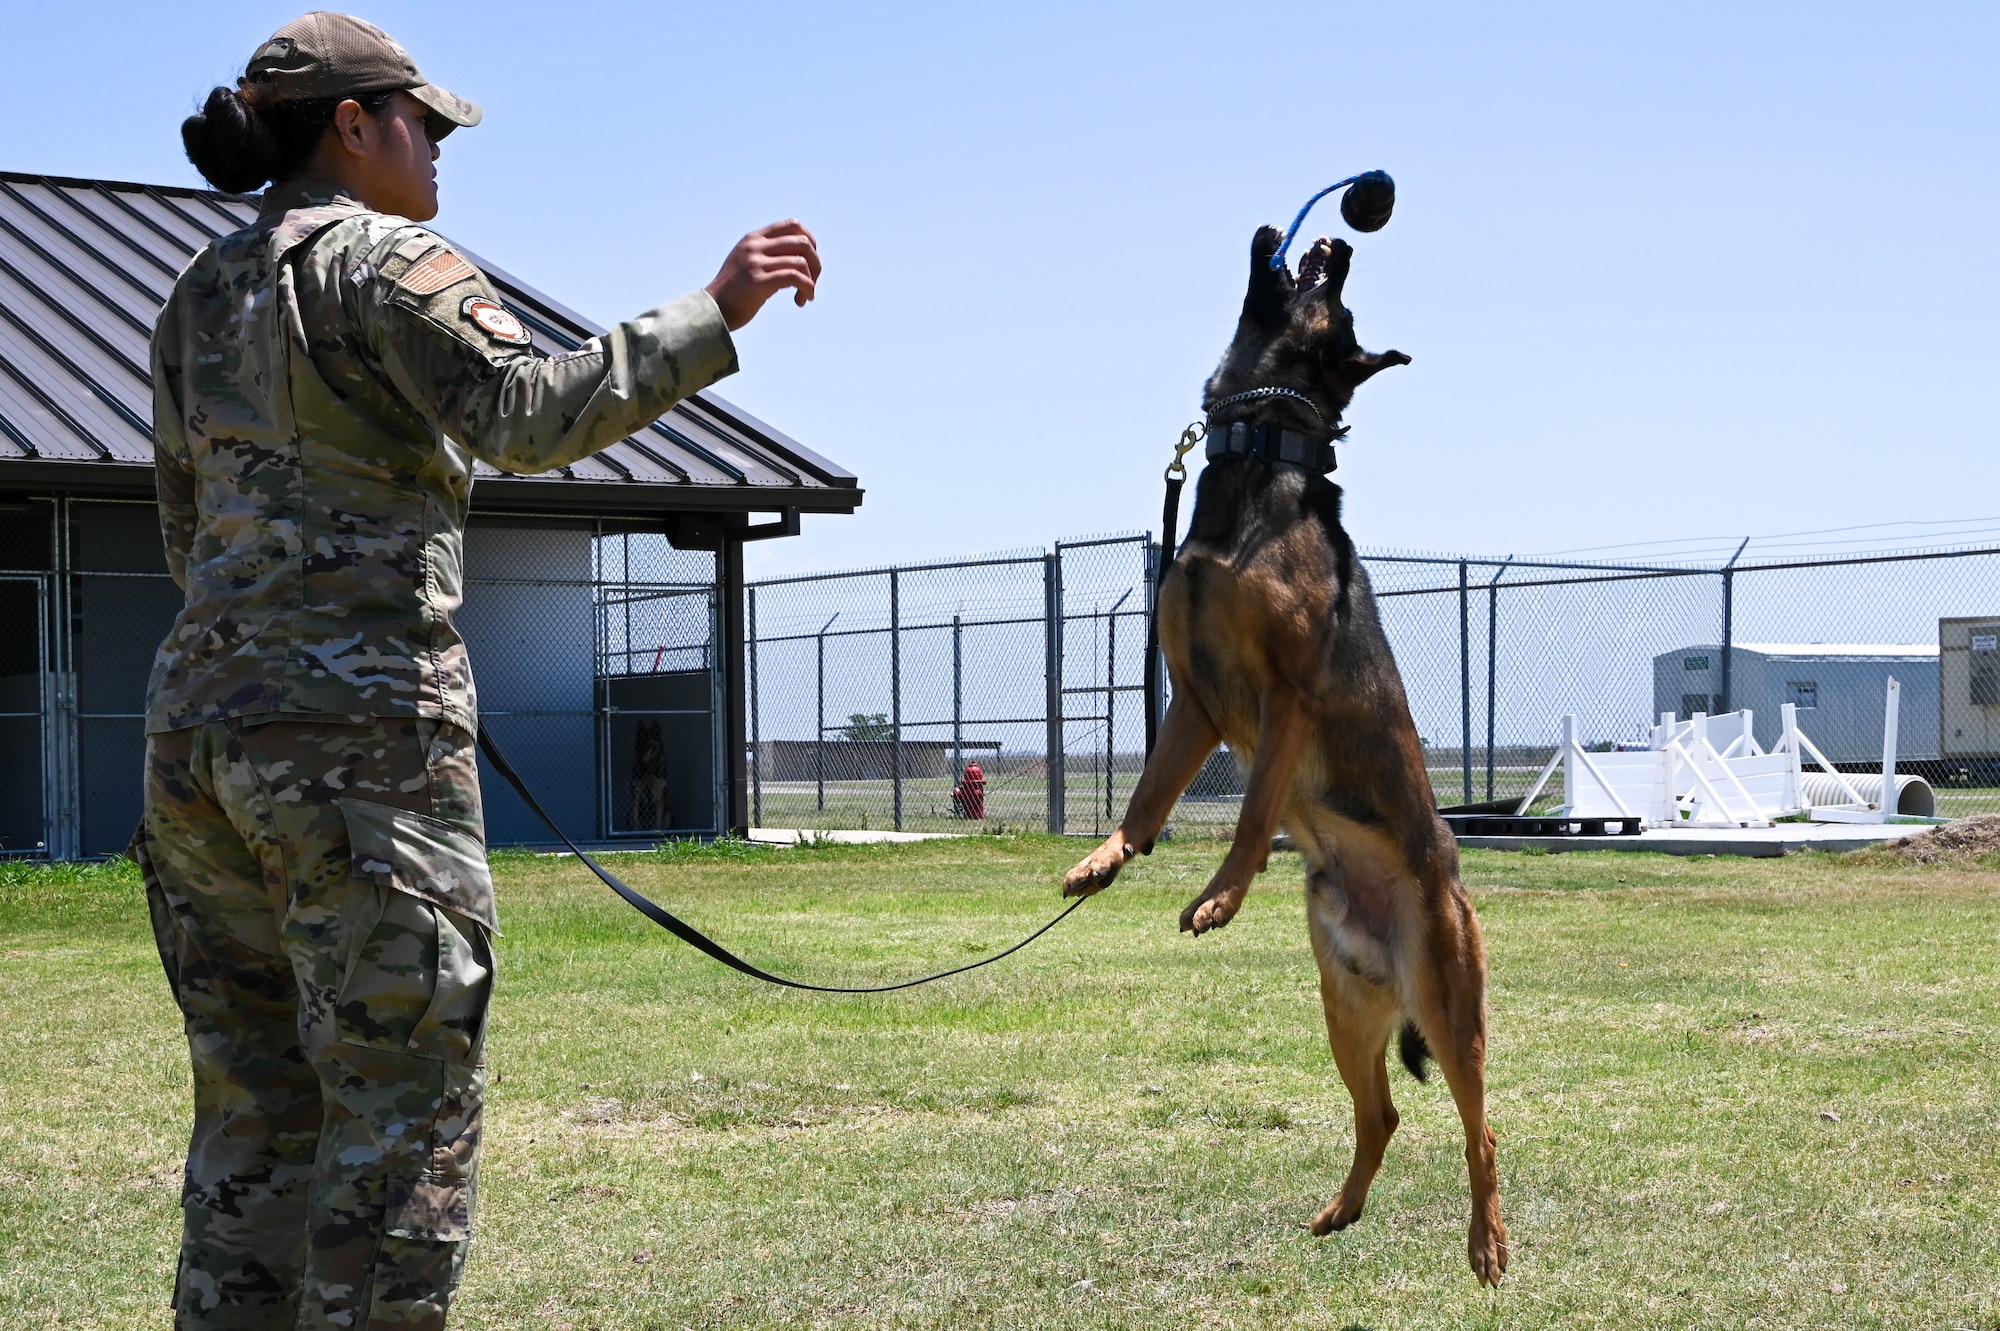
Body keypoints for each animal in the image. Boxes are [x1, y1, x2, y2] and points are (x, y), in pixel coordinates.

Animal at [1064, 225, 1504, 1279]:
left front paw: (1222, 893)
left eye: (1338, 303)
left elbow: (1257, 806)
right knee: (1382, 1115)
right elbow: (1146, 799)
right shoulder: (1192, 703)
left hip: (1450, 1009)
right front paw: (1107, 858)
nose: (1336, 238)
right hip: (1343, 1007)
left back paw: (1487, 1243)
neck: (1258, 453)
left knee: (1481, 1130)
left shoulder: (1284, 698)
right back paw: (1342, 1209)